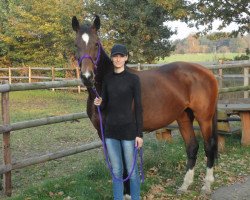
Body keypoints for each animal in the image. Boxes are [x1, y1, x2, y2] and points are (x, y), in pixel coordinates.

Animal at [71, 14, 219, 196]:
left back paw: (206, 185)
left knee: (209, 146)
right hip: (184, 117)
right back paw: (185, 185)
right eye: (76, 44)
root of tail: (207, 72)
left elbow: (126, 164)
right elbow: (117, 164)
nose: (87, 77)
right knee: (192, 146)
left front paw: (128, 194)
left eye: (96, 44)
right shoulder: (103, 133)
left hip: (204, 118)